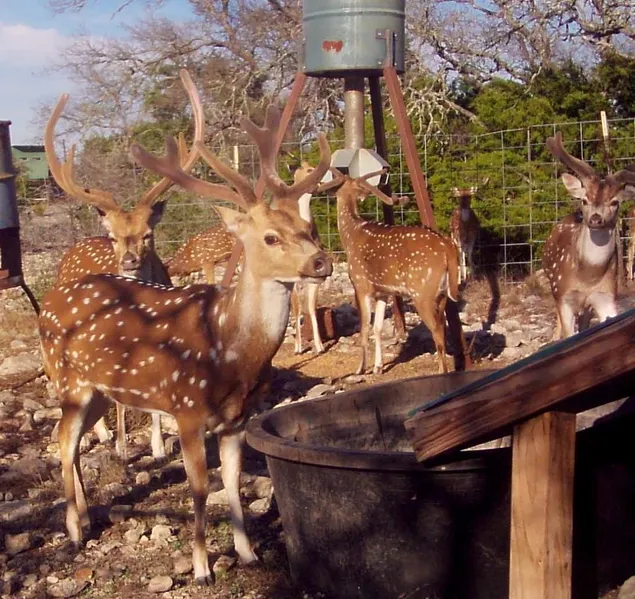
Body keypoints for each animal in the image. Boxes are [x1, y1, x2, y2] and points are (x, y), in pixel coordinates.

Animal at [44, 69, 205, 461]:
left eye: (148, 234)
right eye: (115, 237)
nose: (129, 261)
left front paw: (159, 446)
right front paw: (122, 446)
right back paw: (101, 435)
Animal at [324, 169, 460, 375]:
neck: (350, 236)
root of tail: (448, 248)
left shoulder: (360, 284)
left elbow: (364, 328)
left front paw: (360, 369)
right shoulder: (384, 291)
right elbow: (377, 328)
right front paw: (378, 367)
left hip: (423, 292)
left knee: (436, 328)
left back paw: (441, 371)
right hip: (442, 294)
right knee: (443, 326)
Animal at [542, 132, 635, 338]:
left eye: (614, 202)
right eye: (585, 200)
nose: (595, 219)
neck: (588, 277)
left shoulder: (606, 295)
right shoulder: (564, 294)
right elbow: (569, 332)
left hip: (587, 304)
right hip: (554, 286)